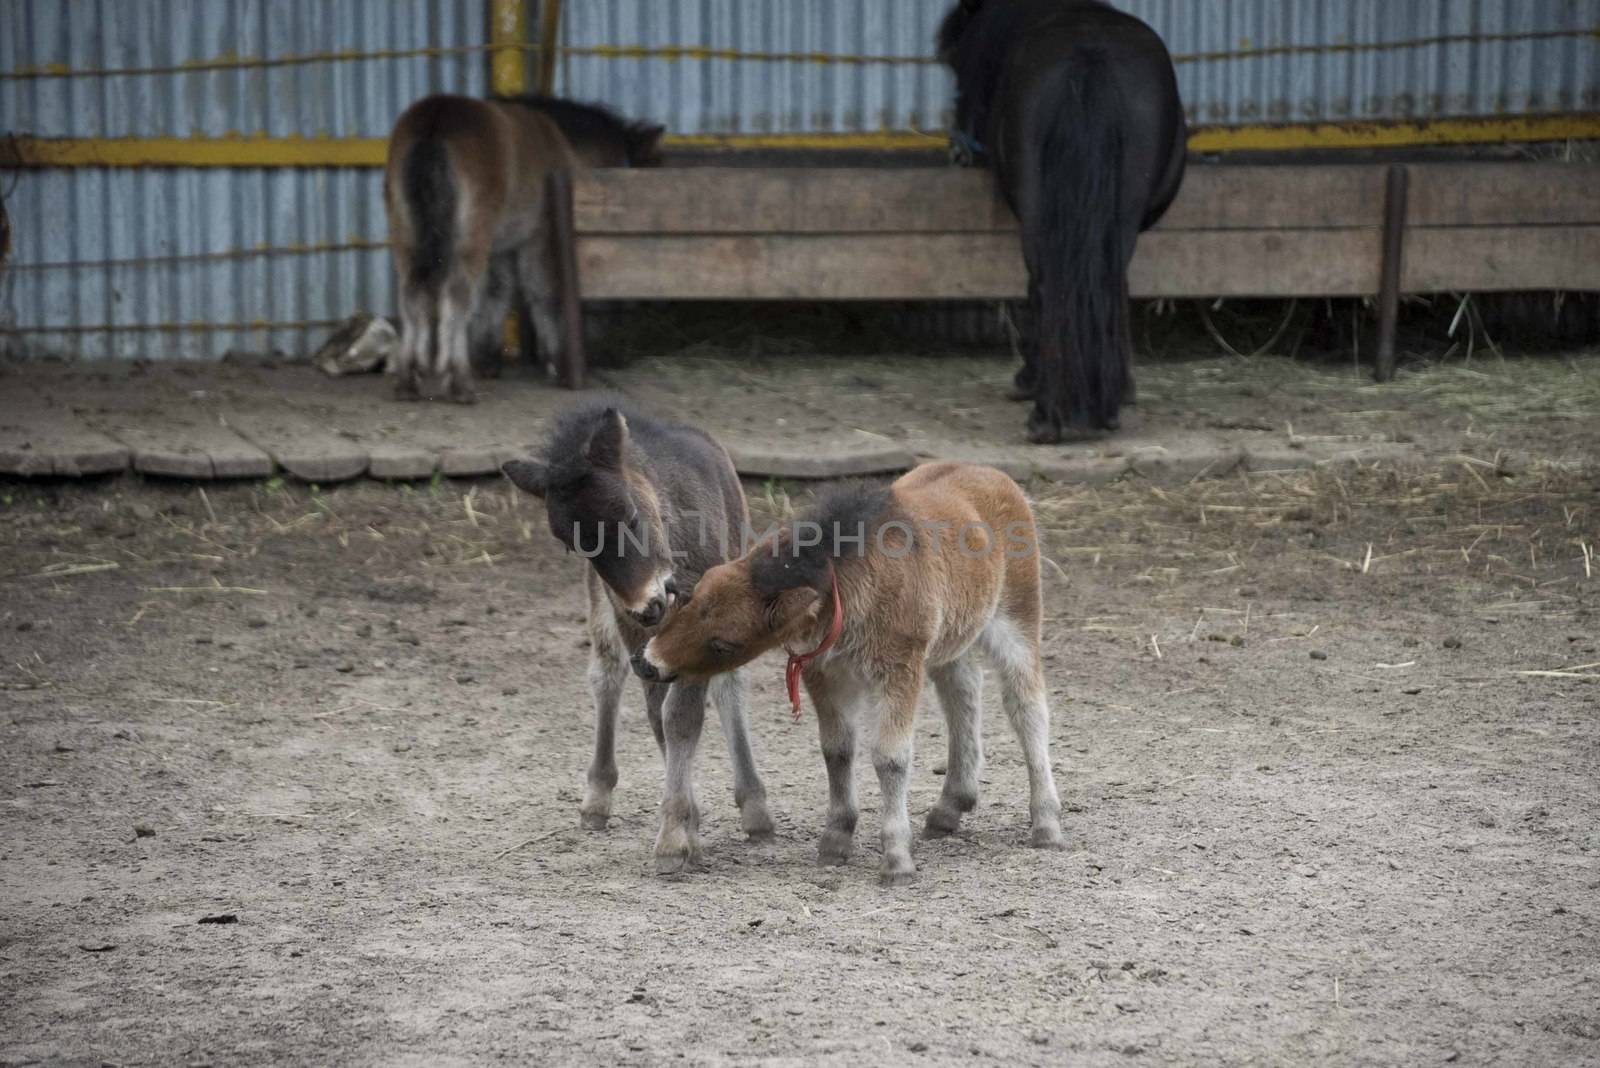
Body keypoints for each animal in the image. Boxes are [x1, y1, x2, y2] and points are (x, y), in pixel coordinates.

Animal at [387, 95, 662, 402]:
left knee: (411, 296)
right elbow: (543, 293)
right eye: (643, 169)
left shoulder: (502, 248)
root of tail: (437, 116)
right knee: (456, 295)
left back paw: (408, 382)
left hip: (405, 231)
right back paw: (459, 382)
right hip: (469, 235)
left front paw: (488, 359)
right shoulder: (538, 238)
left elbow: (497, 294)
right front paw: (558, 364)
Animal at [502, 404, 771, 869]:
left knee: (729, 682)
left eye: (628, 514)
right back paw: (597, 798)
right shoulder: (634, 629)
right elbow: (658, 714)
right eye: (575, 545)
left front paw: (674, 840)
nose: (650, 605)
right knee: (606, 673)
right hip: (603, 609)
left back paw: (755, 808)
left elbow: (681, 715)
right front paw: (686, 829)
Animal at [934, 0, 1190, 441]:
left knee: (1046, 283)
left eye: (955, 65)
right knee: (1104, 280)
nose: (957, 153)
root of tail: (1090, 55)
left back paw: (1046, 408)